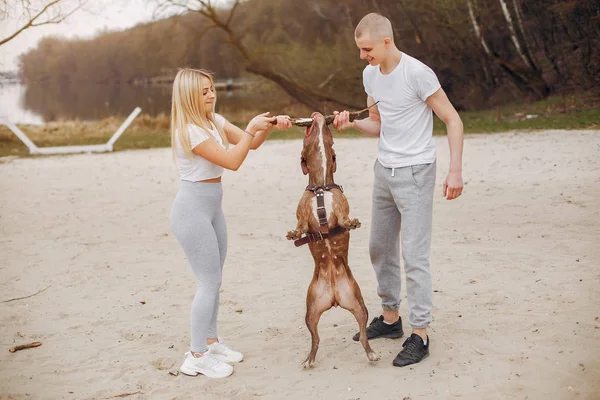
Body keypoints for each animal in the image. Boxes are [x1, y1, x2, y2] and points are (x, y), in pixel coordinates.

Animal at [286, 111, 380, 368]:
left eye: (331, 138)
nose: (318, 115)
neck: (321, 187)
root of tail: (335, 298)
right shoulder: (302, 215)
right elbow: (300, 226)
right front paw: (294, 234)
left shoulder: (340, 207)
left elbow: (344, 219)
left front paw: (352, 223)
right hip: (310, 311)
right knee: (315, 339)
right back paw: (309, 358)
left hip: (359, 305)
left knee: (363, 334)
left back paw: (371, 353)